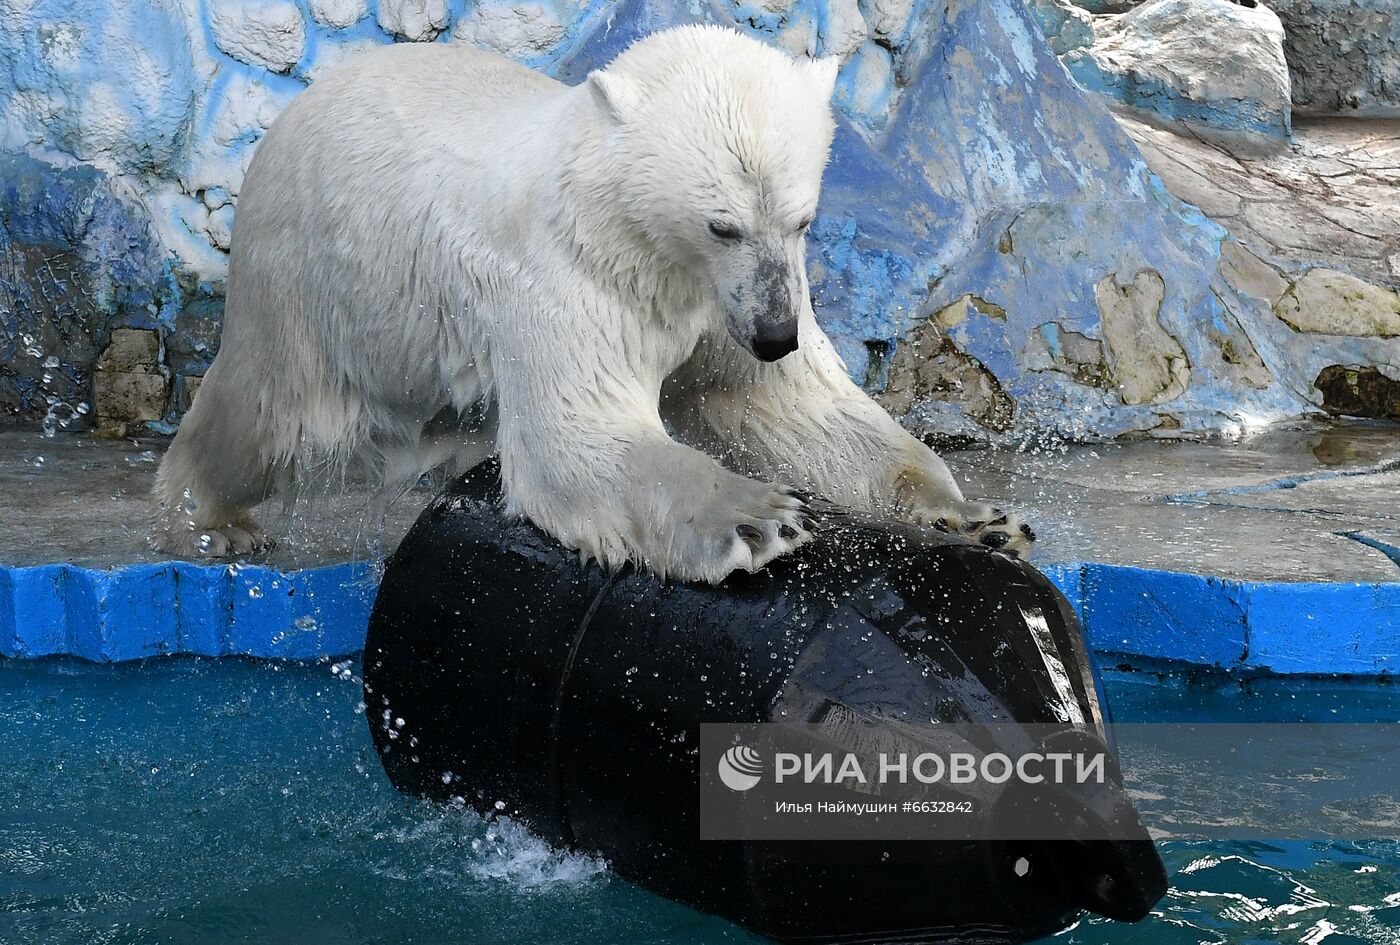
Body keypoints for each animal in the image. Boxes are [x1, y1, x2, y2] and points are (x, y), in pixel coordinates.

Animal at [156, 22, 1030, 579]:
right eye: (722, 223)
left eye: (802, 217)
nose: (777, 333)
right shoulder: (578, 277)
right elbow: (577, 435)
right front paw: (756, 515)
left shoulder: (724, 303)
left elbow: (788, 407)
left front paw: (976, 516)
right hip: (313, 275)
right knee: (268, 412)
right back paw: (212, 518)